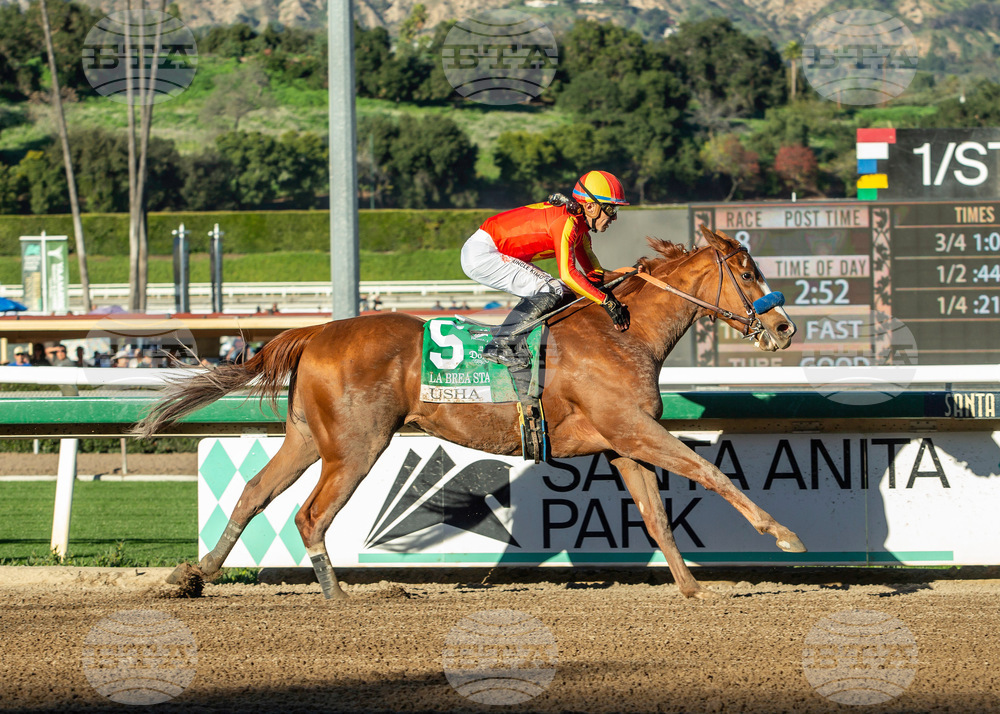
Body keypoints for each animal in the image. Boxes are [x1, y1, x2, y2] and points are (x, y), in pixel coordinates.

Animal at [136, 226, 803, 600]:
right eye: (747, 272)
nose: (783, 328)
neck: (624, 332)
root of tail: (315, 331)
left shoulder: (622, 442)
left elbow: (658, 516)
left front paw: (692, 589)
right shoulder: (636, 428)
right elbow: (710, 472)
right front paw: (783, 534)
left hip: (306, 439)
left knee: (253, 492)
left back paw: (194, 576)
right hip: (355, 447)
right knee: (310, 514)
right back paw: (336, 595)